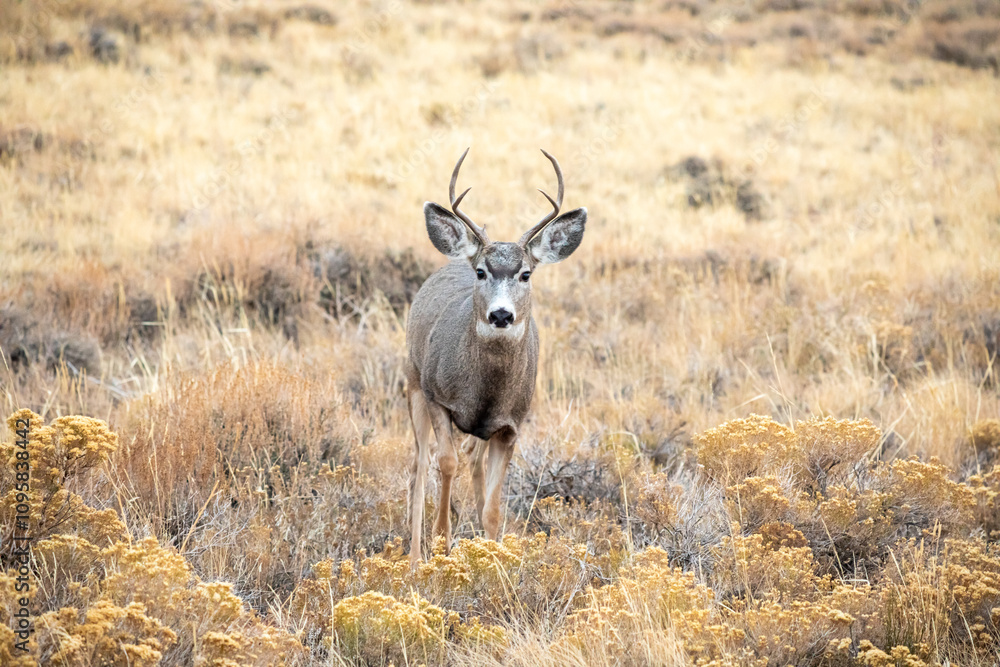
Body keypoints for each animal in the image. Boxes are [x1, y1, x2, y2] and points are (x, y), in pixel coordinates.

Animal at [405, 148, 587, 569]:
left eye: (526, 274)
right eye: (481, 271)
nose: (501, 315)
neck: (484, 391)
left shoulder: (510, 425)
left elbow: (492, 509)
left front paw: (494, 560)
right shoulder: (437, 396)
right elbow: (445, 463)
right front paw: (442, 543)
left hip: (478, 428)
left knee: (471, 458)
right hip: (412, 381)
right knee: (421, 465)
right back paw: (414, 559)